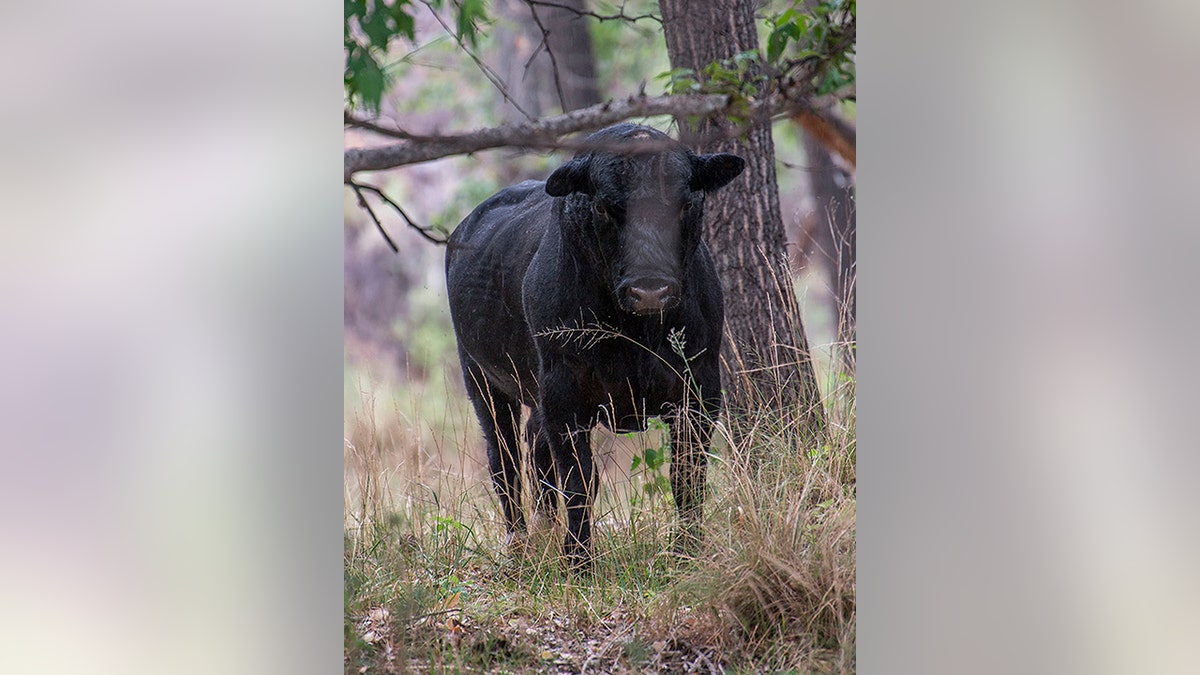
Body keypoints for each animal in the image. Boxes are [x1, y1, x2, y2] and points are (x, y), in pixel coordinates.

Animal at [444, 121, 739, 566]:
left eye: (686, 204)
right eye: (604, 208)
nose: (649, 290)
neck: (635, 332)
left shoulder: (700, 388)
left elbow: (687, 475)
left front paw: (687, 550)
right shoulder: (564, 393)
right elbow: (580, 479)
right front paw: (579, 560)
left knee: (534, 447)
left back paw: (545, 528)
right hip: (481, 379)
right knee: (504, 460)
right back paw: (520, 543)